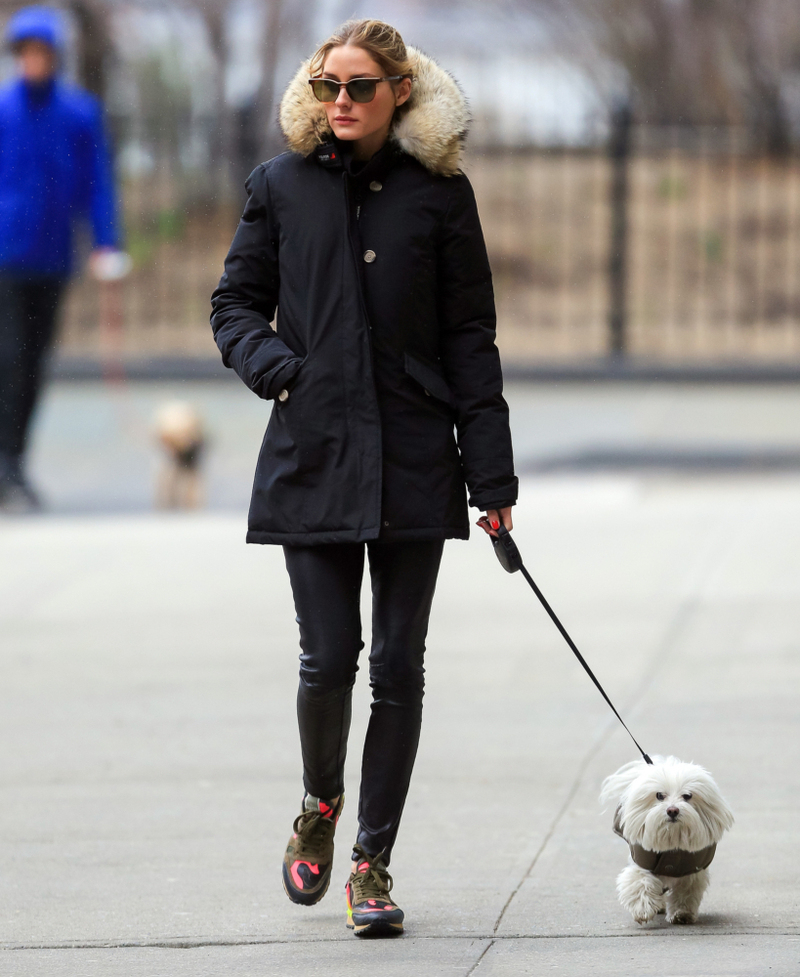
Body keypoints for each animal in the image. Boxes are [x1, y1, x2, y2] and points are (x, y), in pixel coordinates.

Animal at [600, 756, 732, 924]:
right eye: (659, 795)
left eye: (687, 796)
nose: (672, 810)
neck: (672, 838)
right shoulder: (643, 862)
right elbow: (639, 881)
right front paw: (642, 909)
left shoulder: (692, 870)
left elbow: (686, 891)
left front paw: (682, 913)